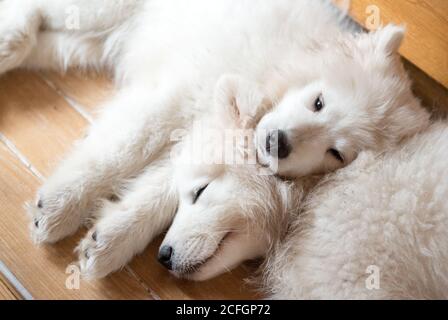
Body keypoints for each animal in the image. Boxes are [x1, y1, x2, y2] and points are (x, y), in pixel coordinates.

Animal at [0, 0, 430, 280]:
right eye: (318, 102)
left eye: (338, 153)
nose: (276, 143)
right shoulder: (177, 96)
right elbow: (125, 147)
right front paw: (59, 208)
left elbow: (158, 189)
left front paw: (107, 242)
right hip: (105, 10)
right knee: (38, 8)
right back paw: (13, 35)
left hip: (91, 38)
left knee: (50, 39)